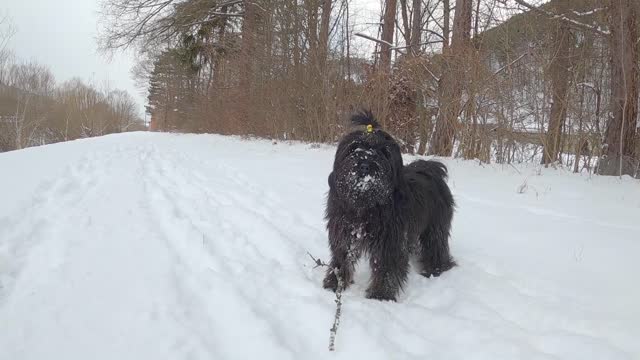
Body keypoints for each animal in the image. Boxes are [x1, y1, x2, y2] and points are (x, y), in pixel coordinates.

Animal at [324, 110, 456, 300]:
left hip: (436, 225)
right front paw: (335, 283)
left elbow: (386, 266)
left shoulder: (390, 240)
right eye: (355, 148)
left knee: (436, 245)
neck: (366, 203)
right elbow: (341, 257)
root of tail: (431, 168)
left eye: (383, 151)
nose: (365, 165)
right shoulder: (344, 232)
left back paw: (436, 268)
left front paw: (381, 295)